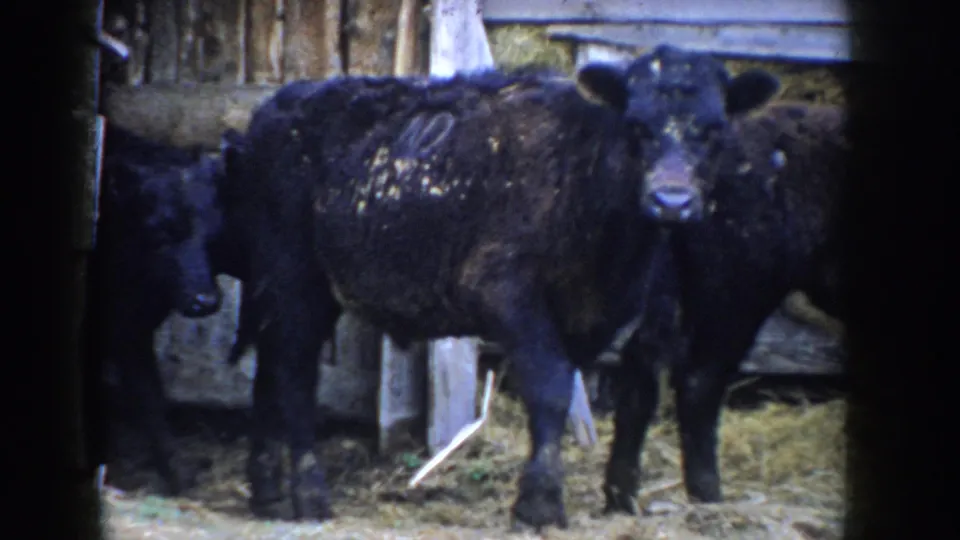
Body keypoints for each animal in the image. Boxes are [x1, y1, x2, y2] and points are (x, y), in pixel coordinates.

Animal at [89, 124, 226, 495]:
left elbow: (150, 397)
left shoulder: (133, 333)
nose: (205, 300)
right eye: (160, 231)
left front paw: (177, 473)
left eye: (213, 232)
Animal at [217, 45, 780, 530]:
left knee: (269, 372)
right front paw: (540, 503)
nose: (672, 201)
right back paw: (309, 494)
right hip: (295, 278)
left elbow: (562, 390)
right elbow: (550, 389)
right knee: (294, 375)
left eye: (713, 129)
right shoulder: (505, 290)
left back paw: (267, 493)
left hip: (283, 289)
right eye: (636, 126)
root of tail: (273, 110)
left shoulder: (591, 317)